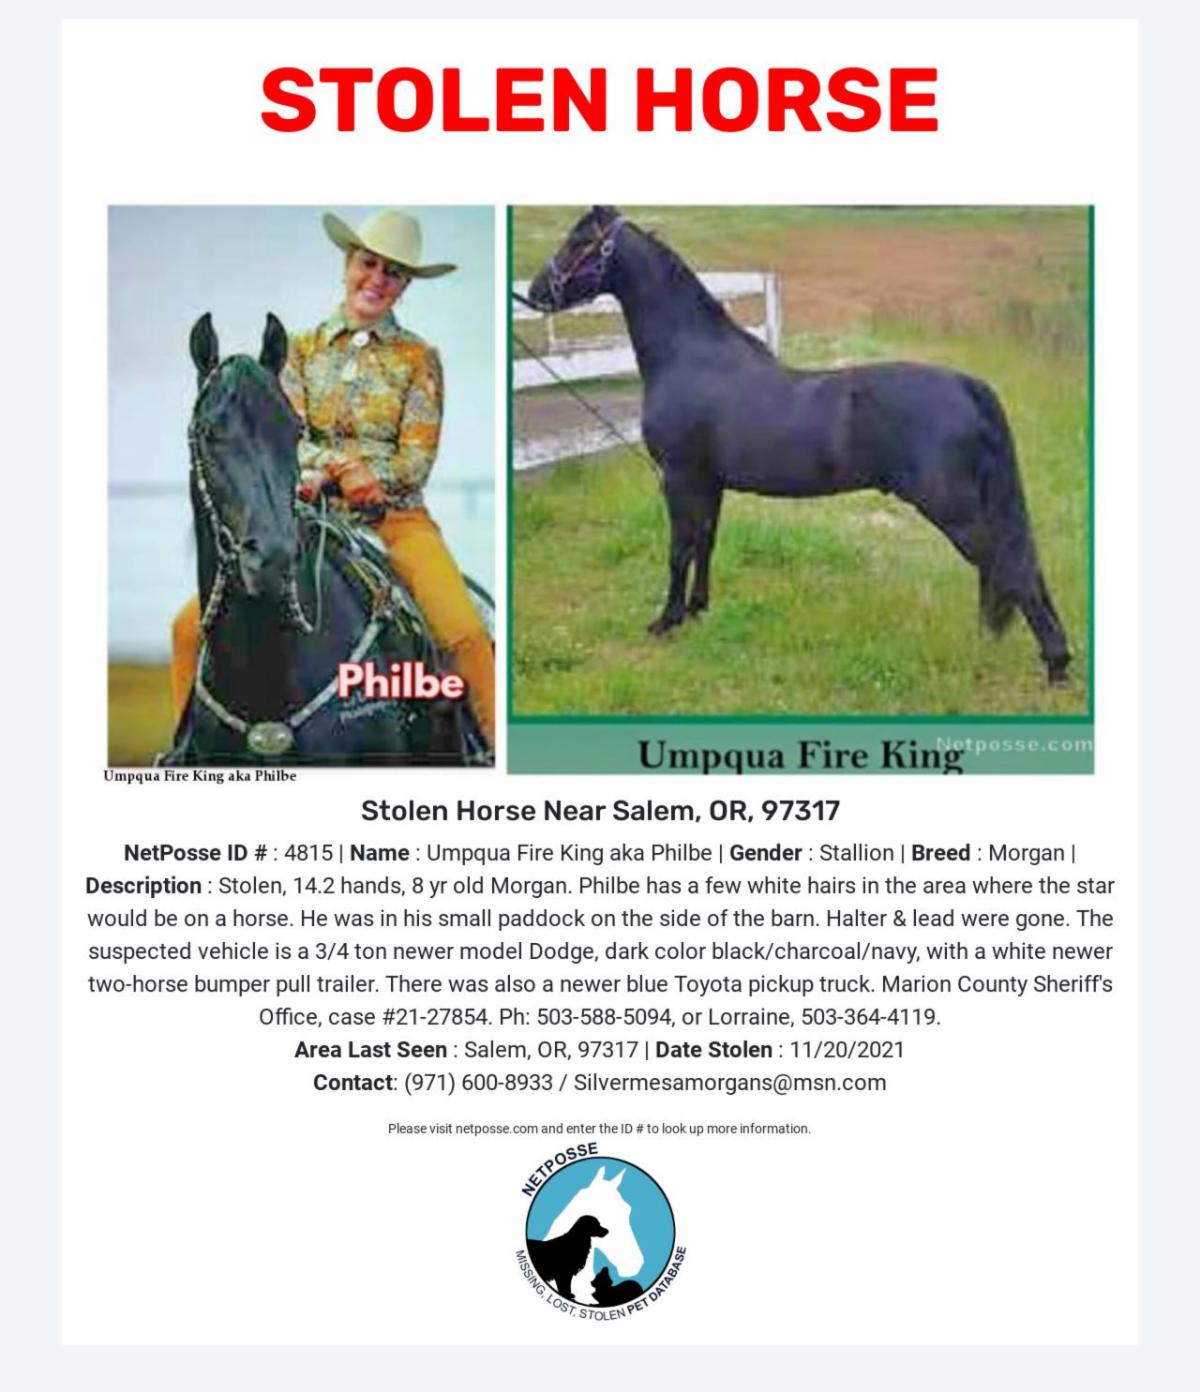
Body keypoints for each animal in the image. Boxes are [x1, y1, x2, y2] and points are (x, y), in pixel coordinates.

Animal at [526, 206, 1071, 684]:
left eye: (579, 241)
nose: (533, 292)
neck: (691, 357)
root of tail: (967, 385)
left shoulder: (679, 478)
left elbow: (678, 549)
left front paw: (667, 620)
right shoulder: (709, 483)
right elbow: (706, 541)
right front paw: (699, 610)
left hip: (953, 507)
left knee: (1012, 566)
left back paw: (1056, 664)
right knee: (1012, 563)